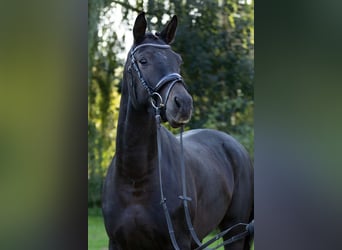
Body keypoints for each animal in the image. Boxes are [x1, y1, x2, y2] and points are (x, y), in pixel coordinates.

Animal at [101, 12, 254, 249]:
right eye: (143, 61)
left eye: (178, 61)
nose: (183, 103)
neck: (135, 179)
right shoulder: (117, 243)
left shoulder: (178, 242)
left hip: (234, 231)